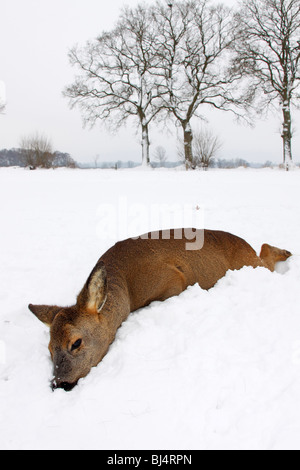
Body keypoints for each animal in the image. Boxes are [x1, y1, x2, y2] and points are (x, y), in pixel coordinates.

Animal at [28, 229, 290, 392]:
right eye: (49, 349)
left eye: (76, 342)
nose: (58, 383)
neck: (126, 287)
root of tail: (245, 244)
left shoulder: (173, 280)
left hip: (251, 264)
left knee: (265, 254)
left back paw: (286, 252)